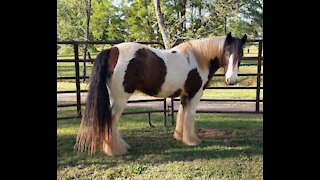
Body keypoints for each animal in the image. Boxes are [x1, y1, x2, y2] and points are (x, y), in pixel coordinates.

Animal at [74, 31, 248, 155]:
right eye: (227, 52)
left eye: (241, 54)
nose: (231, 80)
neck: (198, 59)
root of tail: (112, 50)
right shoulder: (195, 94)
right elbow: (190, 116)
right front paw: (192, 141)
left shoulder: (184, 95)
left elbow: (182, 114)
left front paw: (180, 137)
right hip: (121, 97)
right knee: (112, 119)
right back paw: (115, 150)